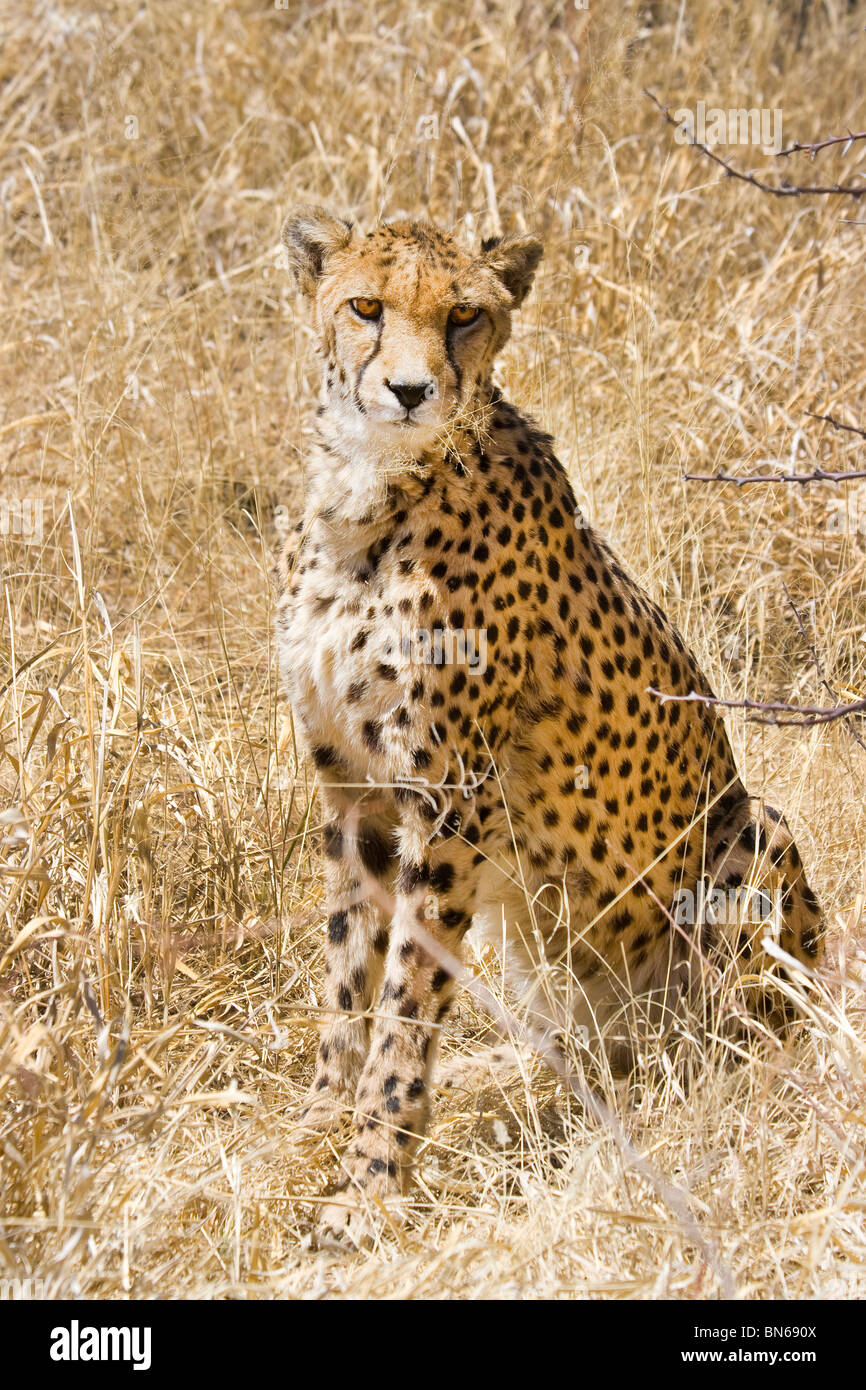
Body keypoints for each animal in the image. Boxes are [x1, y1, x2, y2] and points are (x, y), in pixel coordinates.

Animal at [278, 208, 828, 1251]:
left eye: (464, 315)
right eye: (365, 307)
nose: (409, 390)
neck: (369, 492)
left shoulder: (451, 801)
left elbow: (405, 1007)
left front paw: (369, 1187)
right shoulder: (354, 791)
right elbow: (348, 983)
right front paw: (317, 1125)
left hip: (755, 838)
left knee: (747, 1041)